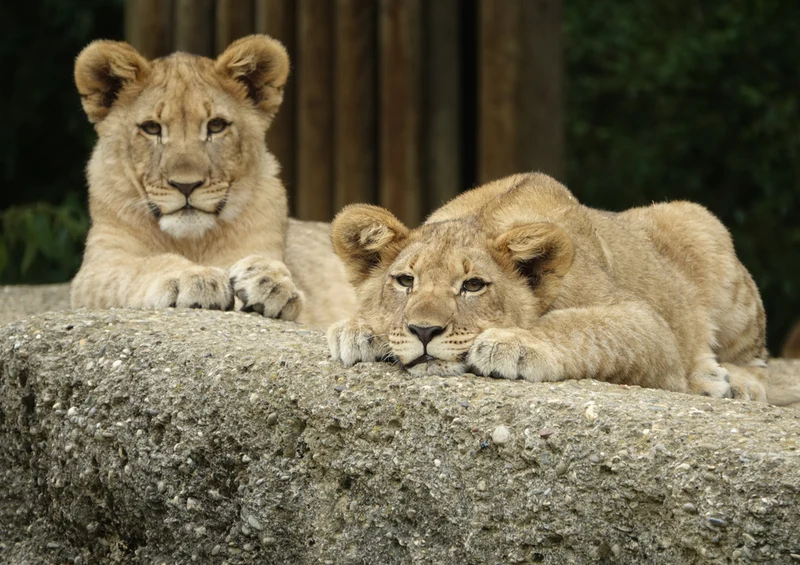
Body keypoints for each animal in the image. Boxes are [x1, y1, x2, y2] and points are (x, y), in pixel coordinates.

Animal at [70, 35, 354, 327]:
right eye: (151, 128)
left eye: (216, 126)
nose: (186, 185)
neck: (191, 241)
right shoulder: (96, 270)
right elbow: (141, 266)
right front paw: (193, 277)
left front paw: (271, 281)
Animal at [328, 172, 800, 405]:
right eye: (406, 281)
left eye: (473, 285)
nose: (424, 332)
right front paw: (357, 329)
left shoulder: (645, 322)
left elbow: (577, 327)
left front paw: (511, 343)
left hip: (703, 233)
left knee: (758, 362)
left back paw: (728, 382)